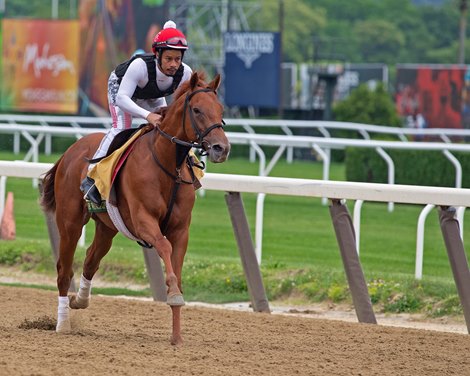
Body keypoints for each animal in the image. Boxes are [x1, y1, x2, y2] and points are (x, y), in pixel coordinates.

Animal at [40, 70, 231, 344]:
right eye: (196, 110)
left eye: (220, 109)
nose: (221, 148)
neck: (166, 165)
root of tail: (69, 152)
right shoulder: (143, 221)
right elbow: (164, 247)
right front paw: (173, 293)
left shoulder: (181, 229)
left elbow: (177, 267)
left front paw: (177, 334)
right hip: (70, 223)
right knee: (64, 270)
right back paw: (63, 323)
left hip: (107, 227)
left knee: (90, 260)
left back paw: (80, 300)